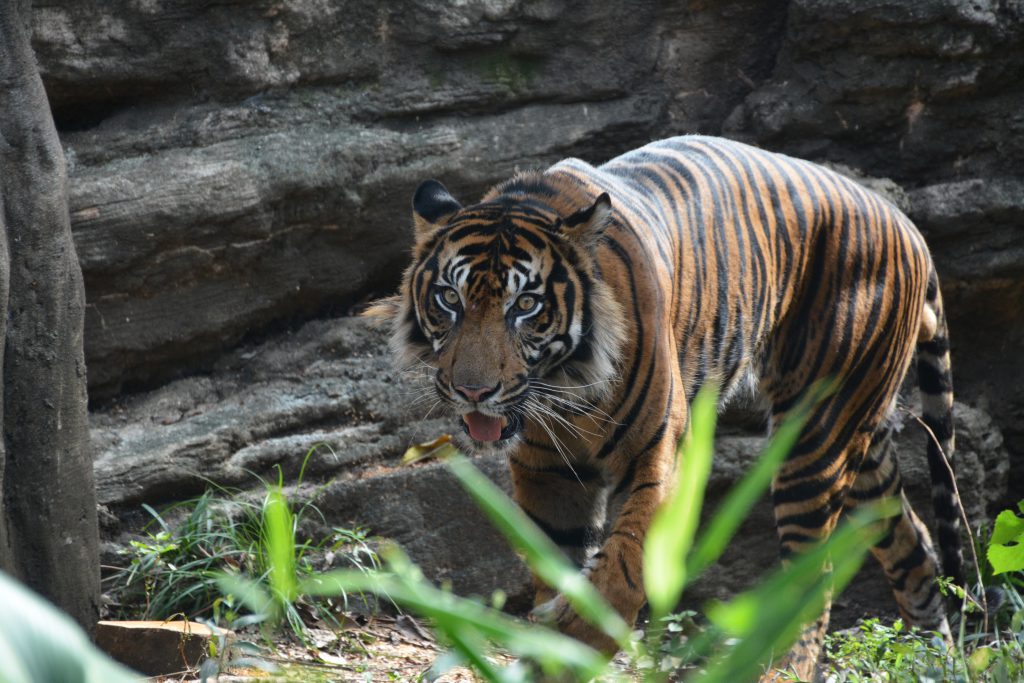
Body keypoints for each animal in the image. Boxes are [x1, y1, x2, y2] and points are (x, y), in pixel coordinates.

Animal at [366, 136, 958, 679]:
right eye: (450, 299)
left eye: (526, 305)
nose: (473, 391)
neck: (566, 388)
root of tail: (906, 225)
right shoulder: (548, 469)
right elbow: (557, 558)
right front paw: (552, 652)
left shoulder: (660, 452)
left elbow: (627, 563)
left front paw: (579, 638)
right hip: (861, 435)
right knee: (915, 543)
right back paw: (936, 659)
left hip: (815, 434)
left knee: (814, 573)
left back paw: (786, 668)